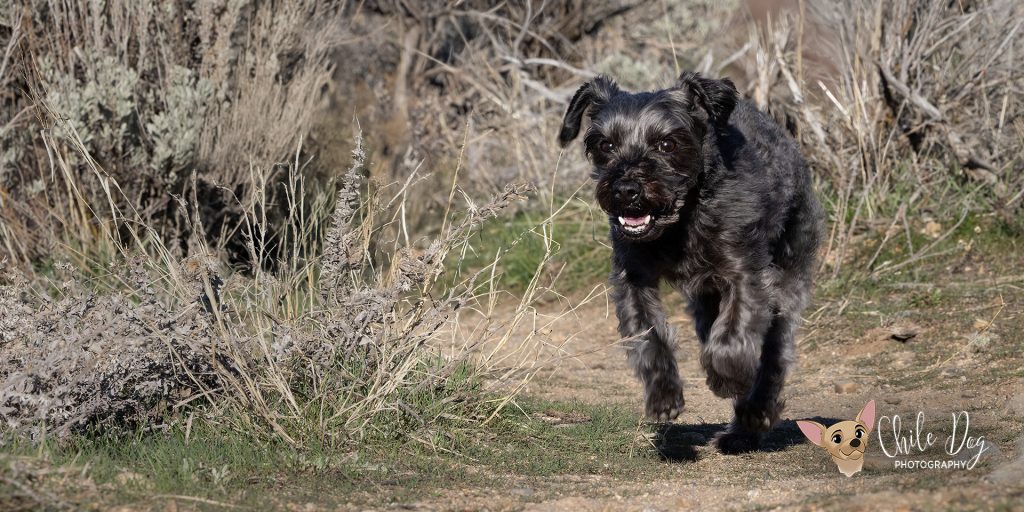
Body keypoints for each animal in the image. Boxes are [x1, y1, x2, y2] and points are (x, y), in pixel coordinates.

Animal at [561, 71, 823, 452]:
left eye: (667, 144)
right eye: (605, 145)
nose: (626, 190)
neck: (681, 223)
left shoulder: (746, 273)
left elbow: (735, 333)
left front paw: (726, 377)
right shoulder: (633, 278)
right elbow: (648, 335)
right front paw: (663, 396)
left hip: (789, 272)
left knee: (774, 350)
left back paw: (754, 414)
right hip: (704, 301)